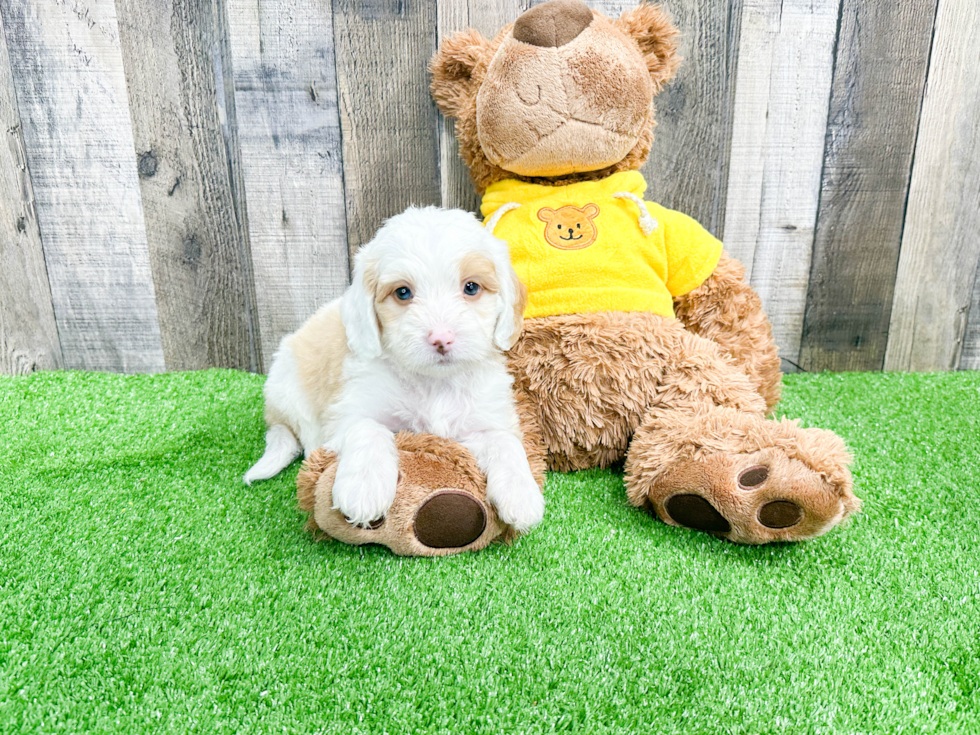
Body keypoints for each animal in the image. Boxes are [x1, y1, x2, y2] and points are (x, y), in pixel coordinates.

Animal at [244, 207, 544, 536]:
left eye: (471, 287)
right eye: (402, 292)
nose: (441, 338)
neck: (435, 384)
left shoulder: (481, 419)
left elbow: (506, 442)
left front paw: (522, 494)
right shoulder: (349, 411)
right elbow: (367, 428)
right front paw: (363, 487)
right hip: (287, 381)